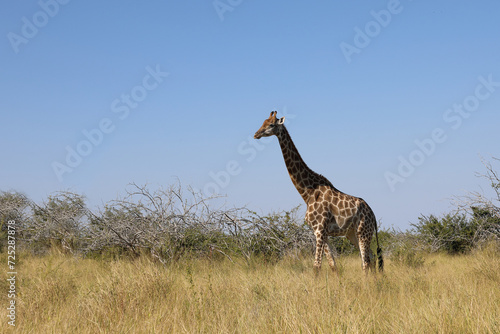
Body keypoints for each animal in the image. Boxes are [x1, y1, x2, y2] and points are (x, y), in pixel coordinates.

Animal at [254, 112, 382, 274]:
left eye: (271, 124)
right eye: (263, 122)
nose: (256, 134)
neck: (307, 192)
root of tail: (373, 215)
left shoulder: (320, 230)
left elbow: (316, 267)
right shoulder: (319, 231)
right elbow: (333, 265)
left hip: (363, 232)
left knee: (366, 263)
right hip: (352, 233)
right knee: (371, 258)